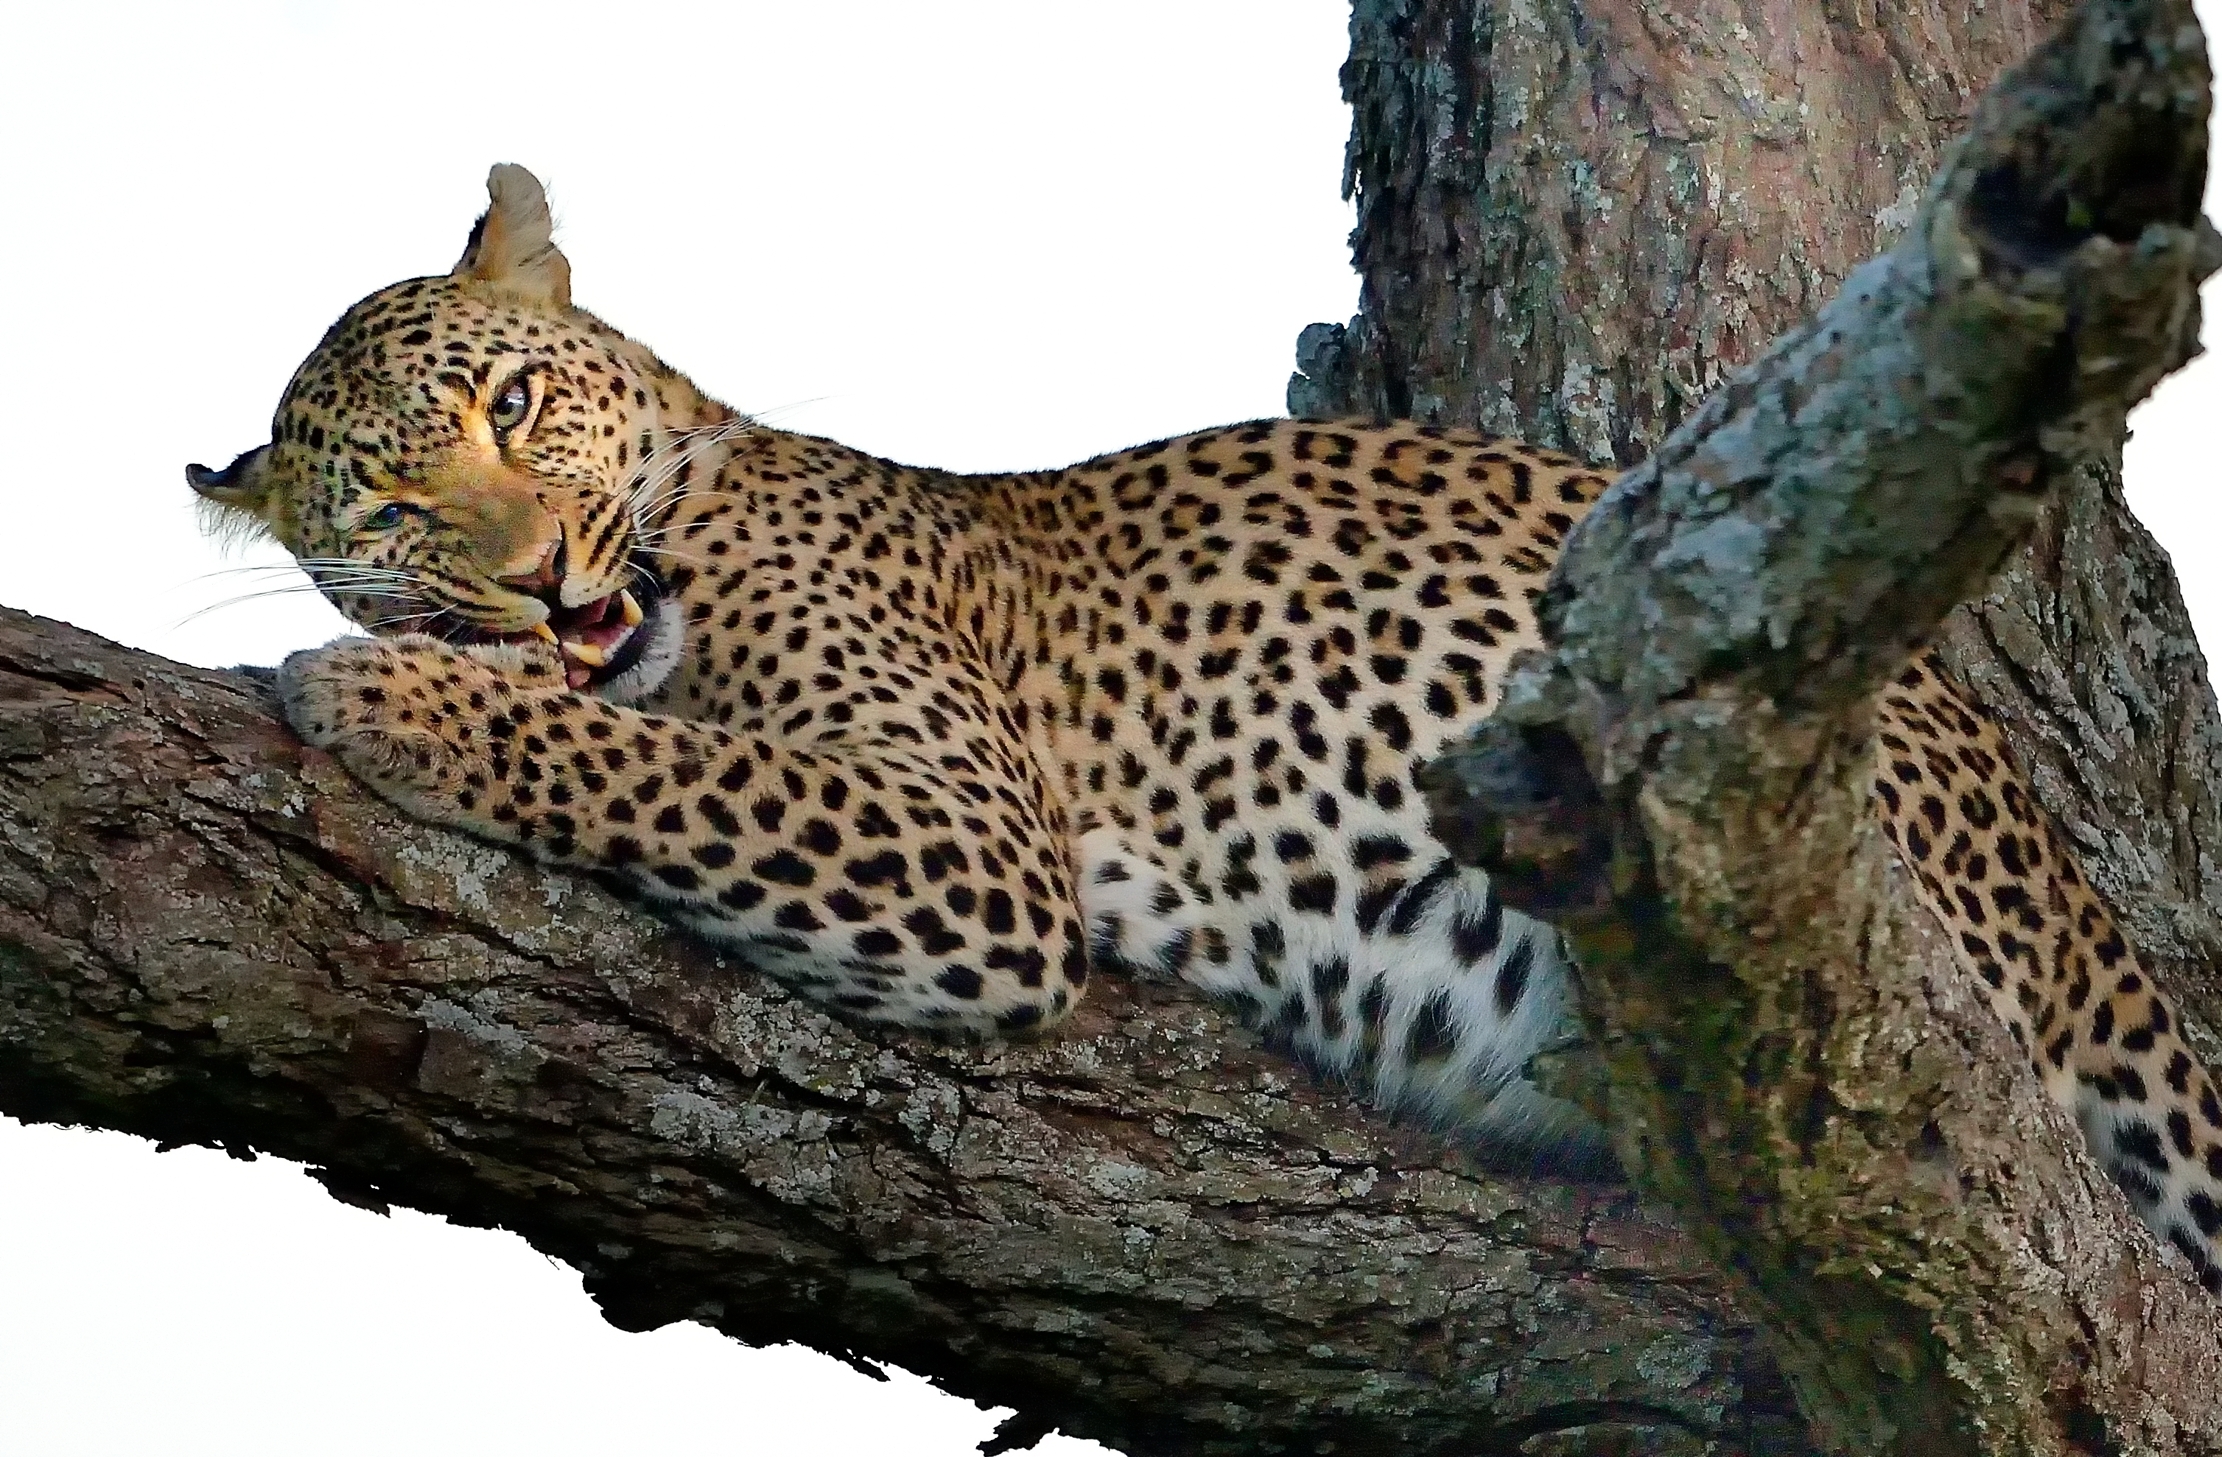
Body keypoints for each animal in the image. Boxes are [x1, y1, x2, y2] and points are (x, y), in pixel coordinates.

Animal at [188, 164, 2222, 1293]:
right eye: (391, 510)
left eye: (517, 406)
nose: (534, 575)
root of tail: (2050, 863)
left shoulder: (973, 854)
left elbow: (669, 759)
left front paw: (380, 694)